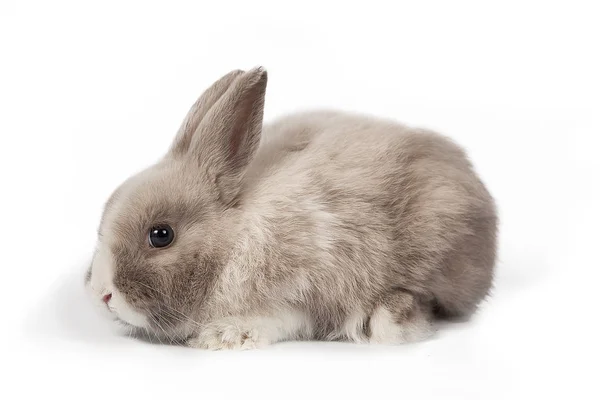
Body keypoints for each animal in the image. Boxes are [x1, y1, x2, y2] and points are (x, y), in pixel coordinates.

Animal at [84, 67, 496, 348]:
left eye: (161, 235)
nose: (102, 294)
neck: (235, 238)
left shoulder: (310, 283)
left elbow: (285, 318)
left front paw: (225, 335)